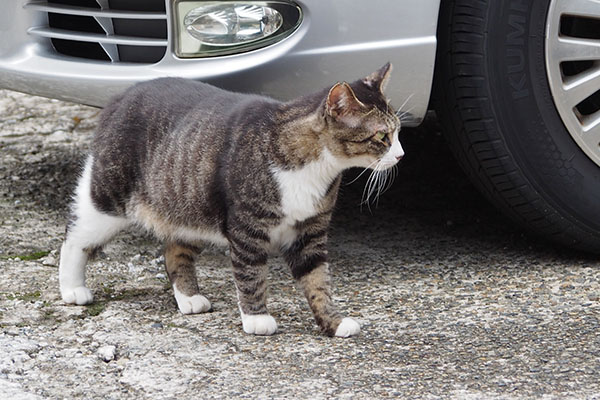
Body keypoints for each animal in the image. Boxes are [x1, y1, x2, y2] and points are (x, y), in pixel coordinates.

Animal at [59, 63, 404, 338]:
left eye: (398, 132)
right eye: (381, 137)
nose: (401, 155)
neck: (314, 166)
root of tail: (119, 97)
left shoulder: (310, 231)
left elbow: (318, 280)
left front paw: (333, 322)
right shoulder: (248, 228)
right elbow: (251, 274)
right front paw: (257, 318)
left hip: (192, 207)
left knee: (174, 252)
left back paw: (188, 298)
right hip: (107, 200)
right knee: (74, 238)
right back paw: (73, 288)